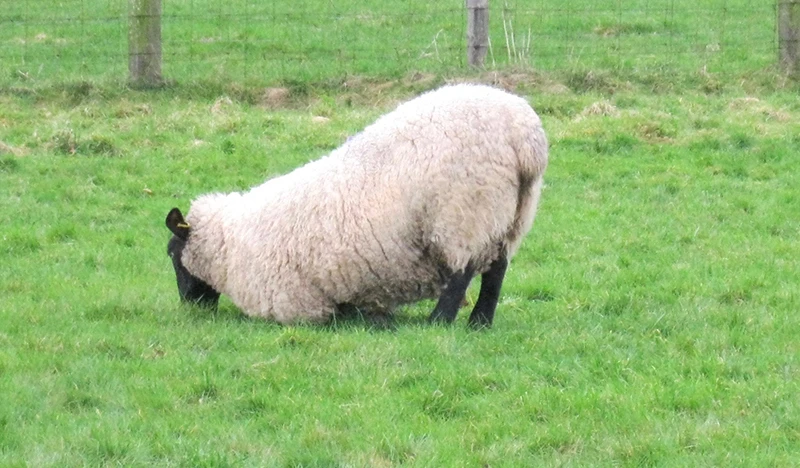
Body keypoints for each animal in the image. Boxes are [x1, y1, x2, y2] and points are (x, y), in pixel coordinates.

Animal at [165, 84, 548, 327]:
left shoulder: (293, 303)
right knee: (496, 271)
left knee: (461, 272)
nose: (189, 305)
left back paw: (438, 322)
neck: (229, 248)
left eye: (172, 253)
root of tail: (524, 134)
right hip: (512, 216)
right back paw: (480, 323)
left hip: (464, 211)